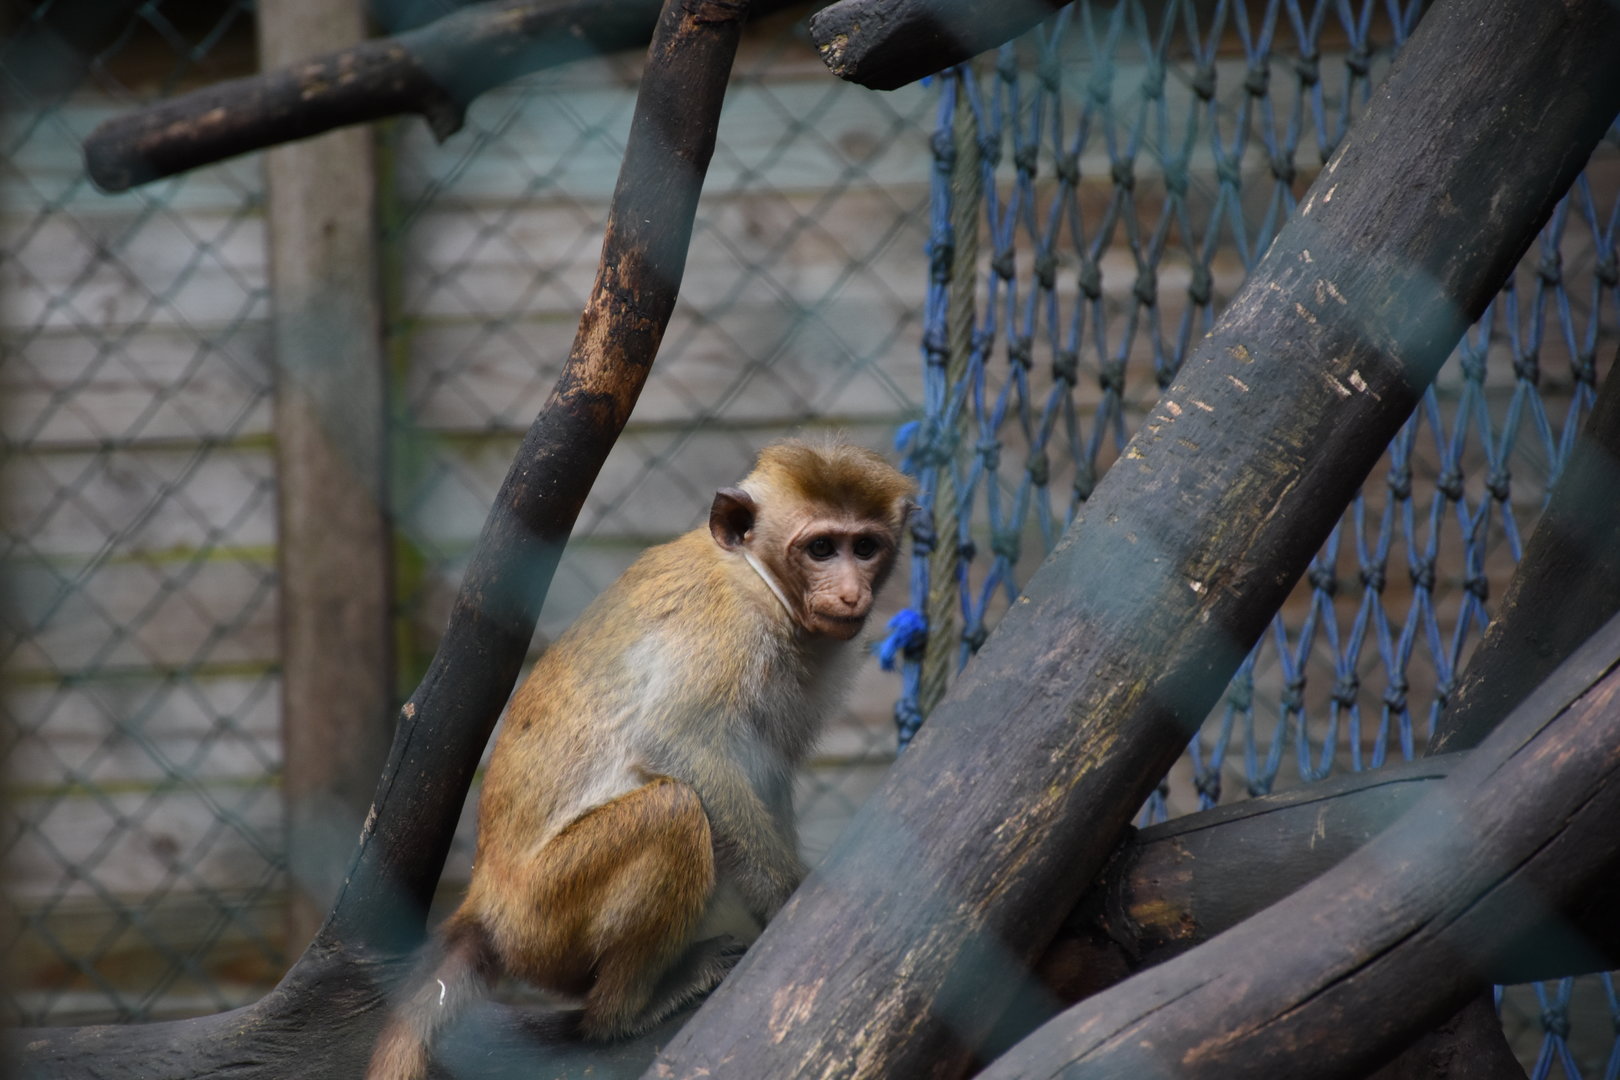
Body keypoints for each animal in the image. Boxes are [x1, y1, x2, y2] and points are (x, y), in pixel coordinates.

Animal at [367, 438, 915, 1079]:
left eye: (865, 547)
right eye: (822, 548)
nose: (852, 592)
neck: (757, 578)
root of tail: (485, 904)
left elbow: (766, 770)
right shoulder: (727, 629)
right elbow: (676, 741)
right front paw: (788, 903)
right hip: (546, 916)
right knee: (673, 811)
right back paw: (621, 1012)